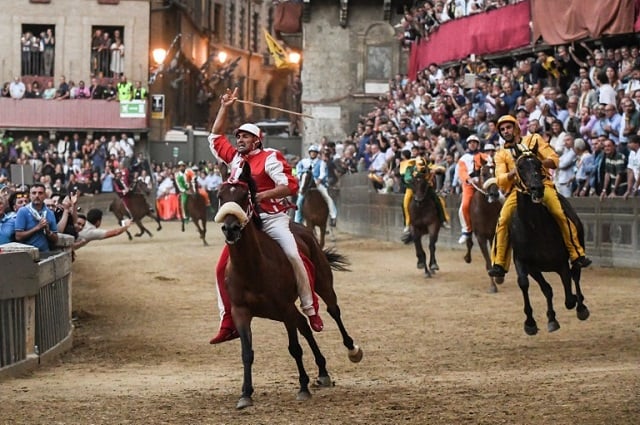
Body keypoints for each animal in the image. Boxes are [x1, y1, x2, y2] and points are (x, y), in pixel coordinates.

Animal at [215, 160, 362, 408]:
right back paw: (322, 371)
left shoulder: (284, 308)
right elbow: (247, 352)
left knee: (332, 311)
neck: (252, 267)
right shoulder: (241, 311)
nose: (231, 228)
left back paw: (352, 350)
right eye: (220, 195)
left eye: (245, 195)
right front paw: (245, 393)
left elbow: (294, 348)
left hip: (321, 284)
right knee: (304, 324)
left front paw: (302, 387)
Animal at [462, 161, 502, 294]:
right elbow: (488, 262)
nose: (495, 194)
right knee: (469, 242)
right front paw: (493, 286)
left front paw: (499, 278)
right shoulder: (480, 237)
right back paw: (467, 257)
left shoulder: (494, 233)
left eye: (495, 173)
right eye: (484, 174)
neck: (486, 209)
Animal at [510, 152, 592, 334]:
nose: (537, 188)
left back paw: (581, 307)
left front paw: (576, 302)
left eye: (538, 164)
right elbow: (531, 285)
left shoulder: (561, 263)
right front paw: (532, 322)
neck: (534, 227)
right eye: (520, 167)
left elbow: (568, 296)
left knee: (576, 273)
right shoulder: (525, 263)